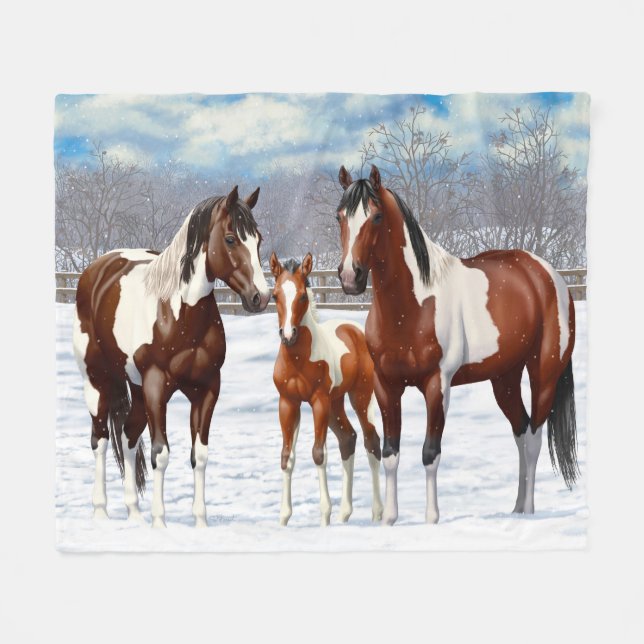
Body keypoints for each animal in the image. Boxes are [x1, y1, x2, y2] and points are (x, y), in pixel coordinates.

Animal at [73, 186, 270, 528]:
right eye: (231, 238)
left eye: (257, 240)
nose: (262, 296)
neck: (178, 314)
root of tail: (96, 271)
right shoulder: (156, 387)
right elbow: (160, 454)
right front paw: (160, 523)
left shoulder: (206, 389)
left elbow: (200, 455)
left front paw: (200, 523)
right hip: (97, 382)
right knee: (100, 440)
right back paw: (100, 511)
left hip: (135, 388)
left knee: (127, 436)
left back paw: (134, 513)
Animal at [270, 252, 383, 526]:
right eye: (275, 295)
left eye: (302, 296)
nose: (288, 335)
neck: (298, 360)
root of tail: (356, 331)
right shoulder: (287, 403)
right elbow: (286, 456)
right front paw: (283, 518)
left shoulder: (318, 401)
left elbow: (318, 453)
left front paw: (324, 516)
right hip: (335, 404)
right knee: (348, 439)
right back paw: (345, 514)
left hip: (359, 398)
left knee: (371, 440)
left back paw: (376, 513)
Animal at [334, 164, 578, 525]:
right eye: (339, 217)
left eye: (376, 217)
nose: (351, 277)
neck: (413, 305)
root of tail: (548, 274)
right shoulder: (386, 386)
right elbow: (391, 452)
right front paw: (389, 519)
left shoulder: (438, 385)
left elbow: (430, 452)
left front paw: (431, 518)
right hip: (504, 378)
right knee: (520, 432)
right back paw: (517, 508)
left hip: (543, 375)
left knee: (533, 438)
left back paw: (530, 511)